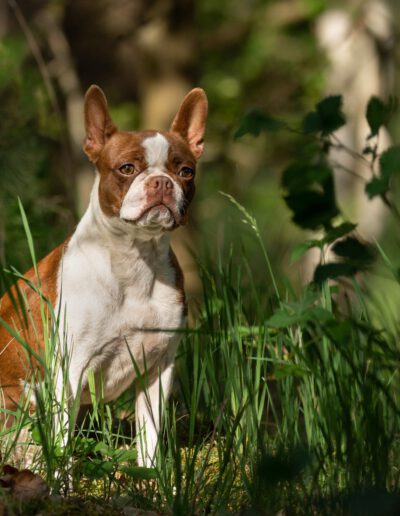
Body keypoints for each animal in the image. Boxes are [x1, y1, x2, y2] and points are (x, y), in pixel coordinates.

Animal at [0, 85, 208, 468]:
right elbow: (63, 450)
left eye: (186, 171)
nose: (161, 182)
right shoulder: (70, 370)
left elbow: (150, 440)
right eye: (127, 168)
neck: (134, 261)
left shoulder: (158, 370)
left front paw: (155, 481)